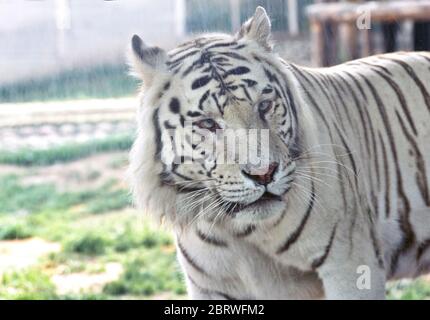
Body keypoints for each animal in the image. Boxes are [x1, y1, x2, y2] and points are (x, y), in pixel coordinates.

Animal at [129, 6, 430, 298]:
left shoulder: (350, 264)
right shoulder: (208, 285)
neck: (237, 233)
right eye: (207, 123)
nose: (263, 174)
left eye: (264, 106)